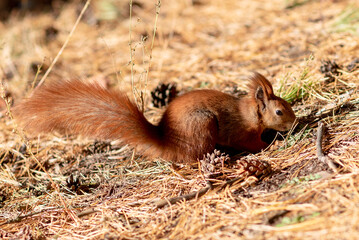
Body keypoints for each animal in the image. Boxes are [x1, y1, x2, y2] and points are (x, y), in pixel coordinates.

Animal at [13, 72, 296, 164]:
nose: (294, 122)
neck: (249, 113)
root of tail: (167, 143)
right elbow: (253, 144)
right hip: (203, 125)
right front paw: (274, 143)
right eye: (279, 111)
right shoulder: (241, 132)